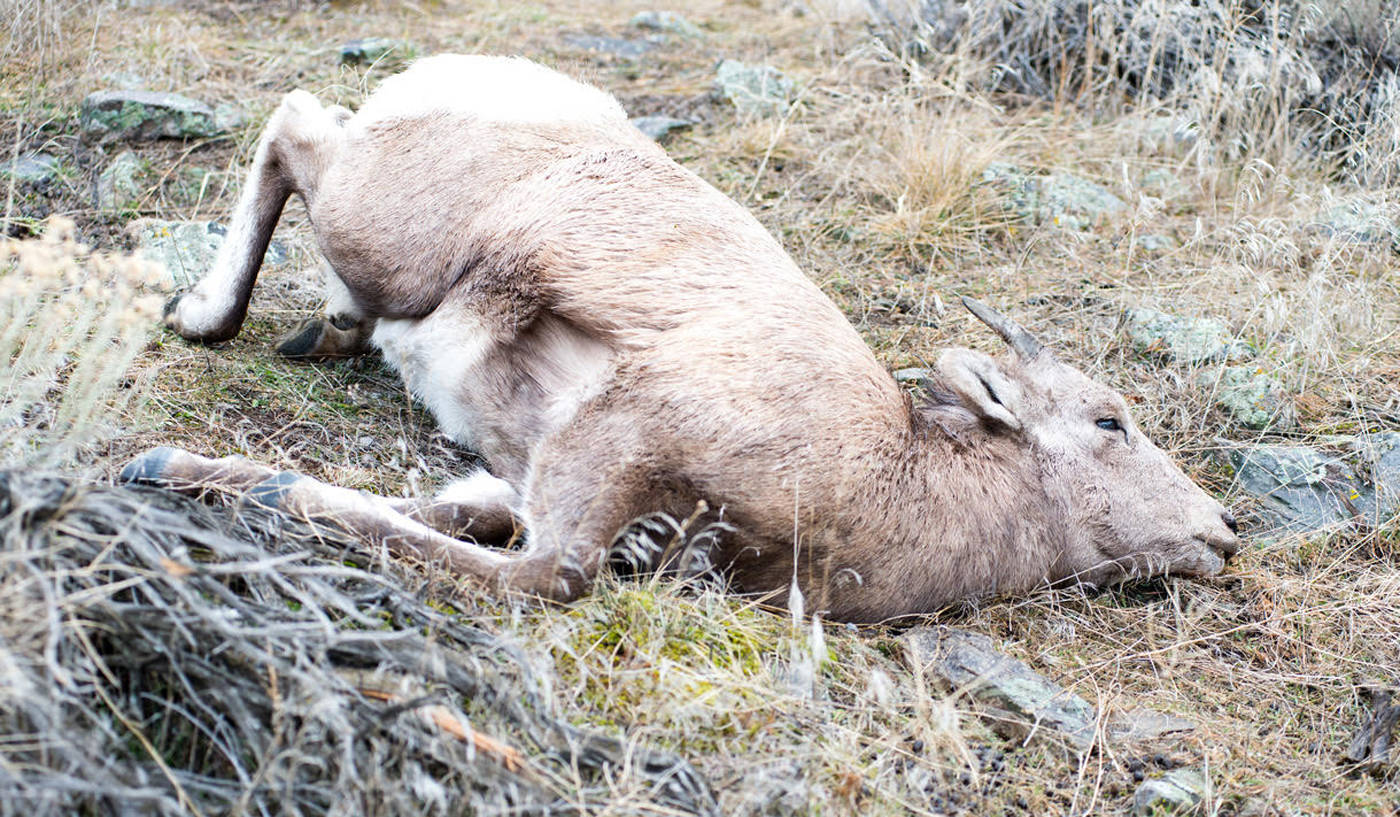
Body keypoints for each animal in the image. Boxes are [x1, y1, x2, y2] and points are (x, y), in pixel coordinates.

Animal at [136, 54, 1243, 621]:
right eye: (1109, 421)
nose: (1223, 533)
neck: (894, 481)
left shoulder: (550, 488)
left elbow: (450, 517)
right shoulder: (620, 444)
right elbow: (541, 575)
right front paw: (177, 470)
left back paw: (318, 332)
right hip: (385, 232)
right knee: (294, 124)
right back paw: (202, 318)